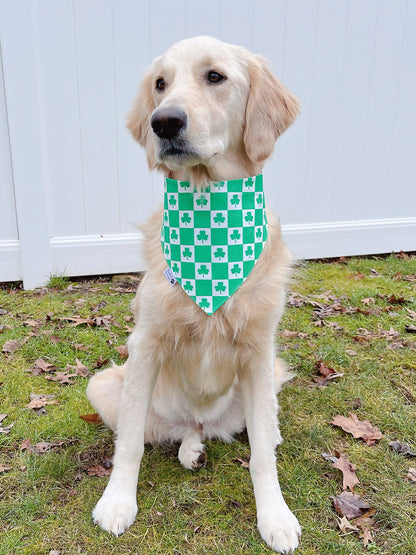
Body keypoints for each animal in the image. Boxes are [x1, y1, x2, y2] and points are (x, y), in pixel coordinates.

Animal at [88, 37, 300, 552]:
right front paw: (117, 502)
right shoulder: (145, 345)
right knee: (173, 431)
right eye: (160, 84)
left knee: (258, 427)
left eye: (215, 77)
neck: (210, 221)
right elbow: (127, 445)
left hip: (267, 378)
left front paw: (275, 516)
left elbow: (262, 457)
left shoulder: (259, 351)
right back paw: (191, 448)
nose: (163, 121)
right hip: (105, 386)